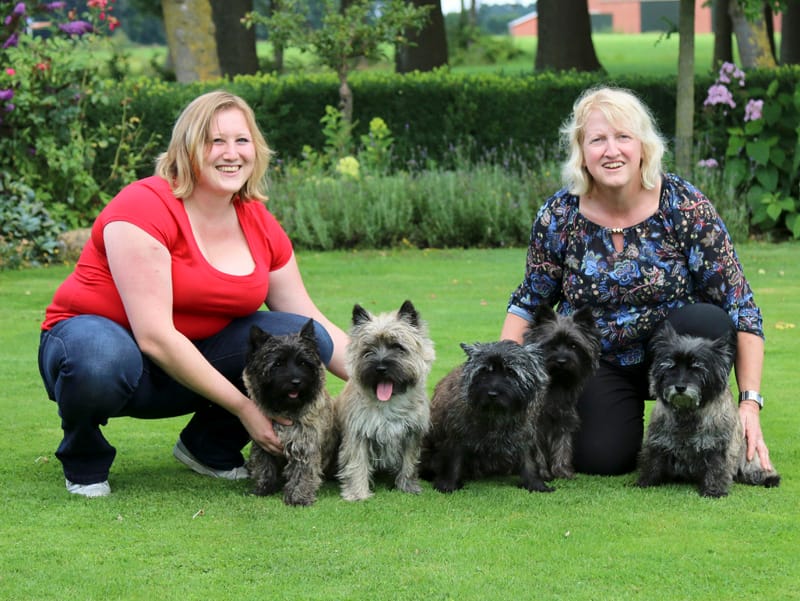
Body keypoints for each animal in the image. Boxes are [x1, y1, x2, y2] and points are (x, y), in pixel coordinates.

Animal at [243, 320, 337, 506]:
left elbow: (302, 473)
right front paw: (264, 488)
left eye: (303, 363)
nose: (296, 382)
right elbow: (264, 466)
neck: (286, 409)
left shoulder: (304, 445)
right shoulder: (262, 444)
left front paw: (299, 497)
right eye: (278, 364)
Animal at [335, 300, 435, 501]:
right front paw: (358, 494)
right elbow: (357, 463)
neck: (389, 403)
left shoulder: (410, 434)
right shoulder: (358, 434)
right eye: (368, 350)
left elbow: (409, 463)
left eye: (398, 347)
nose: (380, 368)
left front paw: (407, 487)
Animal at [420, 339, 553, 493]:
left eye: (511, 372)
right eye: (483, 371)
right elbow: (454, 461)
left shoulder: (524, 435)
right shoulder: (457, 435)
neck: (496, 414)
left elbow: (529, 462)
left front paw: (536, 485)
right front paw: (448, 485)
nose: (492, 394)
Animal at [524, 304, 601, 481]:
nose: (561, 361)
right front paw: (543, 473)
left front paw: (562, 471)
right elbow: (538, 452)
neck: (556, 385)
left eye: (573, 346)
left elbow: (562, 446)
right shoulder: (535, 426)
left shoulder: (564, 421)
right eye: (551, 344)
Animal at [636, 320, 780, 498]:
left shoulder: (717, 446)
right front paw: (645, 482)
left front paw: (713, 491)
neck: (688, 412)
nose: (680, 387)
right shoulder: (658, 441)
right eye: (671, 366)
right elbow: (652, 463)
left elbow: (716, 469)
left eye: (697, 368)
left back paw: (768, 477)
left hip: (749, 454)